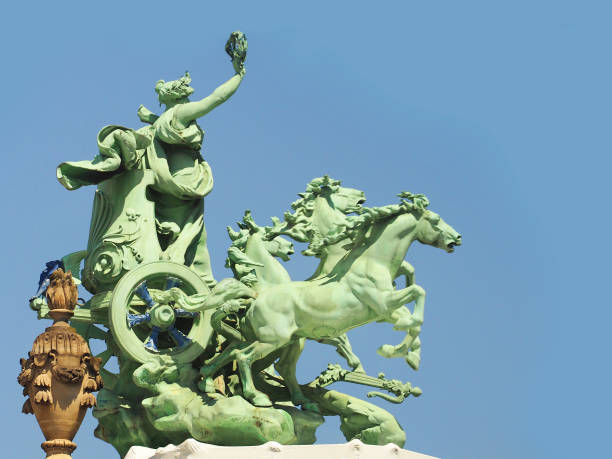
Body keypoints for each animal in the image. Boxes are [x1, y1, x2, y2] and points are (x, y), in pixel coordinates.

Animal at [201, 196, 460, 412]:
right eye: (435, 220)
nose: (456, 238)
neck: (371, 262)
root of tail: (256, 295)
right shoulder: (383, 304)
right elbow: (418, 294)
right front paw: (393, 348)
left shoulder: (384, 311)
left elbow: (413, 316)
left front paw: (407, 355)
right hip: (275, 339)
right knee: (244, 356)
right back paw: (257, 397)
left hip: (282, 339)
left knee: (245, 355)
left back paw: (209, 382)